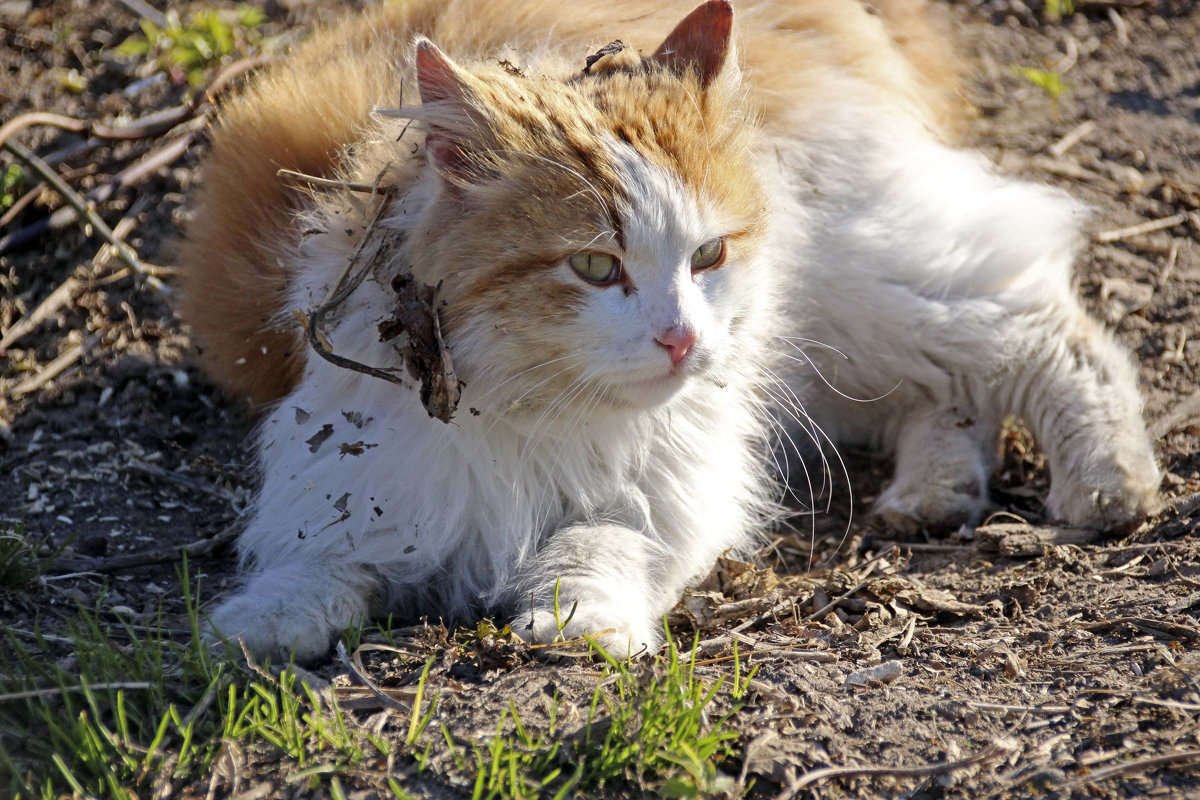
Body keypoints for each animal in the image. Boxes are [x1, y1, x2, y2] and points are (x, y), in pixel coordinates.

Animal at [180, 0, 1161, 662]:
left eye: (709, 253)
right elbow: (318, 558)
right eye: (593, 267)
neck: (531, 408)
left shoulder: (669, 483)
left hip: (867, 288)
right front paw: (259, 626)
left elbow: (598, 544)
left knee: (1048, 334)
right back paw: (935, 492)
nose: (683, 339)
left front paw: (577, 621)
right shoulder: (351, 469)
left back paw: (1109, 483)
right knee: (951, 393)